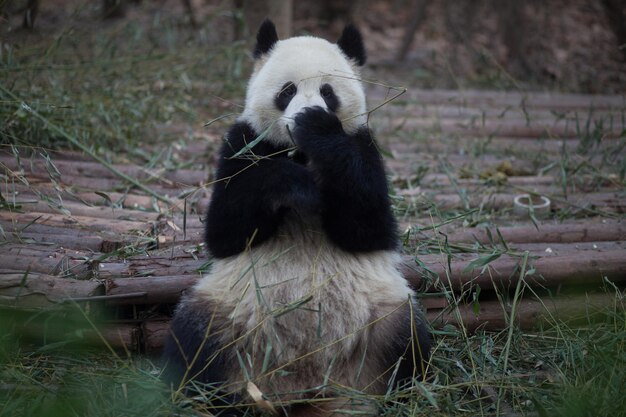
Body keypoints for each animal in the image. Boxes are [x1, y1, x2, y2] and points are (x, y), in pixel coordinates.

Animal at [162, 18, 428, 412]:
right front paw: (297, 186)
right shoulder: (241, 144)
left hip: (380, 317)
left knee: (407, 341)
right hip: (228, 315)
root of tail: (304, 383)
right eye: (287, 91)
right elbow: (226, 232)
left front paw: (318, 130)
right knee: (194, 343)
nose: (304, 114)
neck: (300, 152)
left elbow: (368, 226)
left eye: (328, 92)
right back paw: (214, 399)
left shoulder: (364, 146)